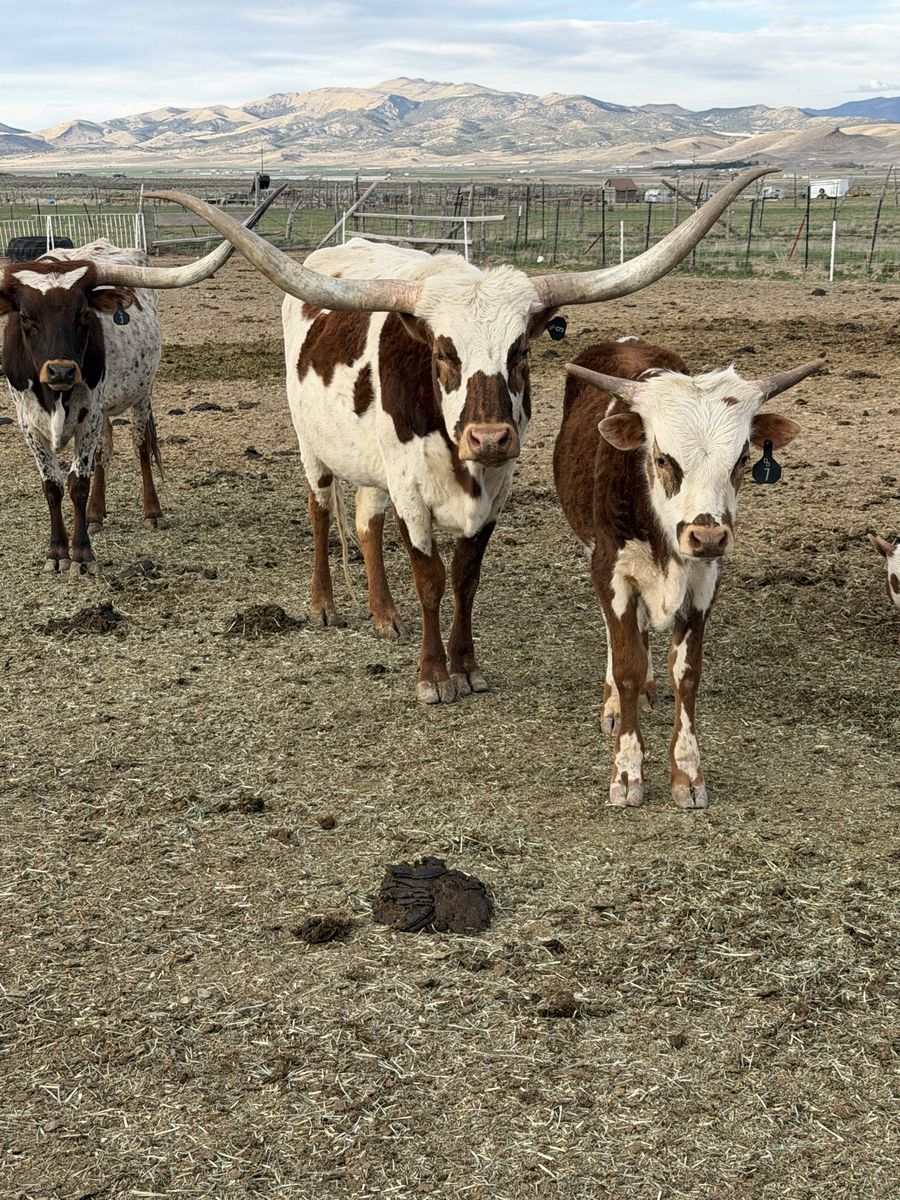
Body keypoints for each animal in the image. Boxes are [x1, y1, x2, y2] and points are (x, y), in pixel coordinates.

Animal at [0, 192, 282, 574]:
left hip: (140, 396)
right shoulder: (28, 423)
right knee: (103, 454)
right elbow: (53, 485)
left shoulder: (89, 415)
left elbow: (78, 482)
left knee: (140, 447)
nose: (61, 371)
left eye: (84, 314)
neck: (55, 395)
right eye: (26, 317)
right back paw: (96, 515)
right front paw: (57, 552)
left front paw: (82, 555)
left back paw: (151, 512)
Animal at [145, 167, 775, 704]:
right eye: (444, 353)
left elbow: (465, 578)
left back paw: (383, 614)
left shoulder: (493, 494)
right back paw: (324, 603)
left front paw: (466, 665)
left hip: (374, 466)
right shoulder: (411, 494)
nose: (490, 438)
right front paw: (433, 675)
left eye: (521, 351)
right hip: (312, 447)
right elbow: (430, 580)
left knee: (366, 521)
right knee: (322, 510)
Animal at [553, 338, 823, 808]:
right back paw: (615, 705)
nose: (708, 535)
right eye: (663, 459)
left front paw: (688, 772)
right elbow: (625, 664)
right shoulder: (610, 571)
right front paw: (627, 771)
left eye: (743, 458)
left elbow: (686, 672)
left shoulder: (703, 583)